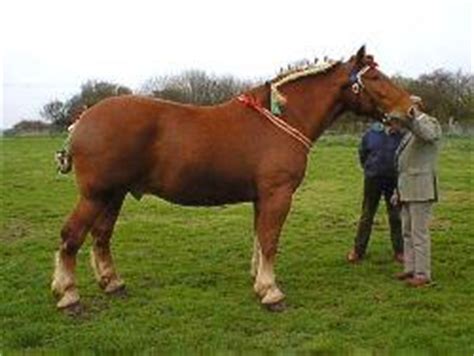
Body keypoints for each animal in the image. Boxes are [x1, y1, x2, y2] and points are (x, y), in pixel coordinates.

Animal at [52, 46, 414, 312]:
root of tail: (83, 119)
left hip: (115, 195)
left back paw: (112, 283)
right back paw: (68, 294)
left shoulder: (261, 197)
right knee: (72, 235)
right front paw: (271, 292)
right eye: (376, 76)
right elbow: (270, 241)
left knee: (101, 236)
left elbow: (259, 239)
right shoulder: (278, 194)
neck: (281, 118)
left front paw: (259, 282)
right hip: (96, 195)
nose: (411, 108)